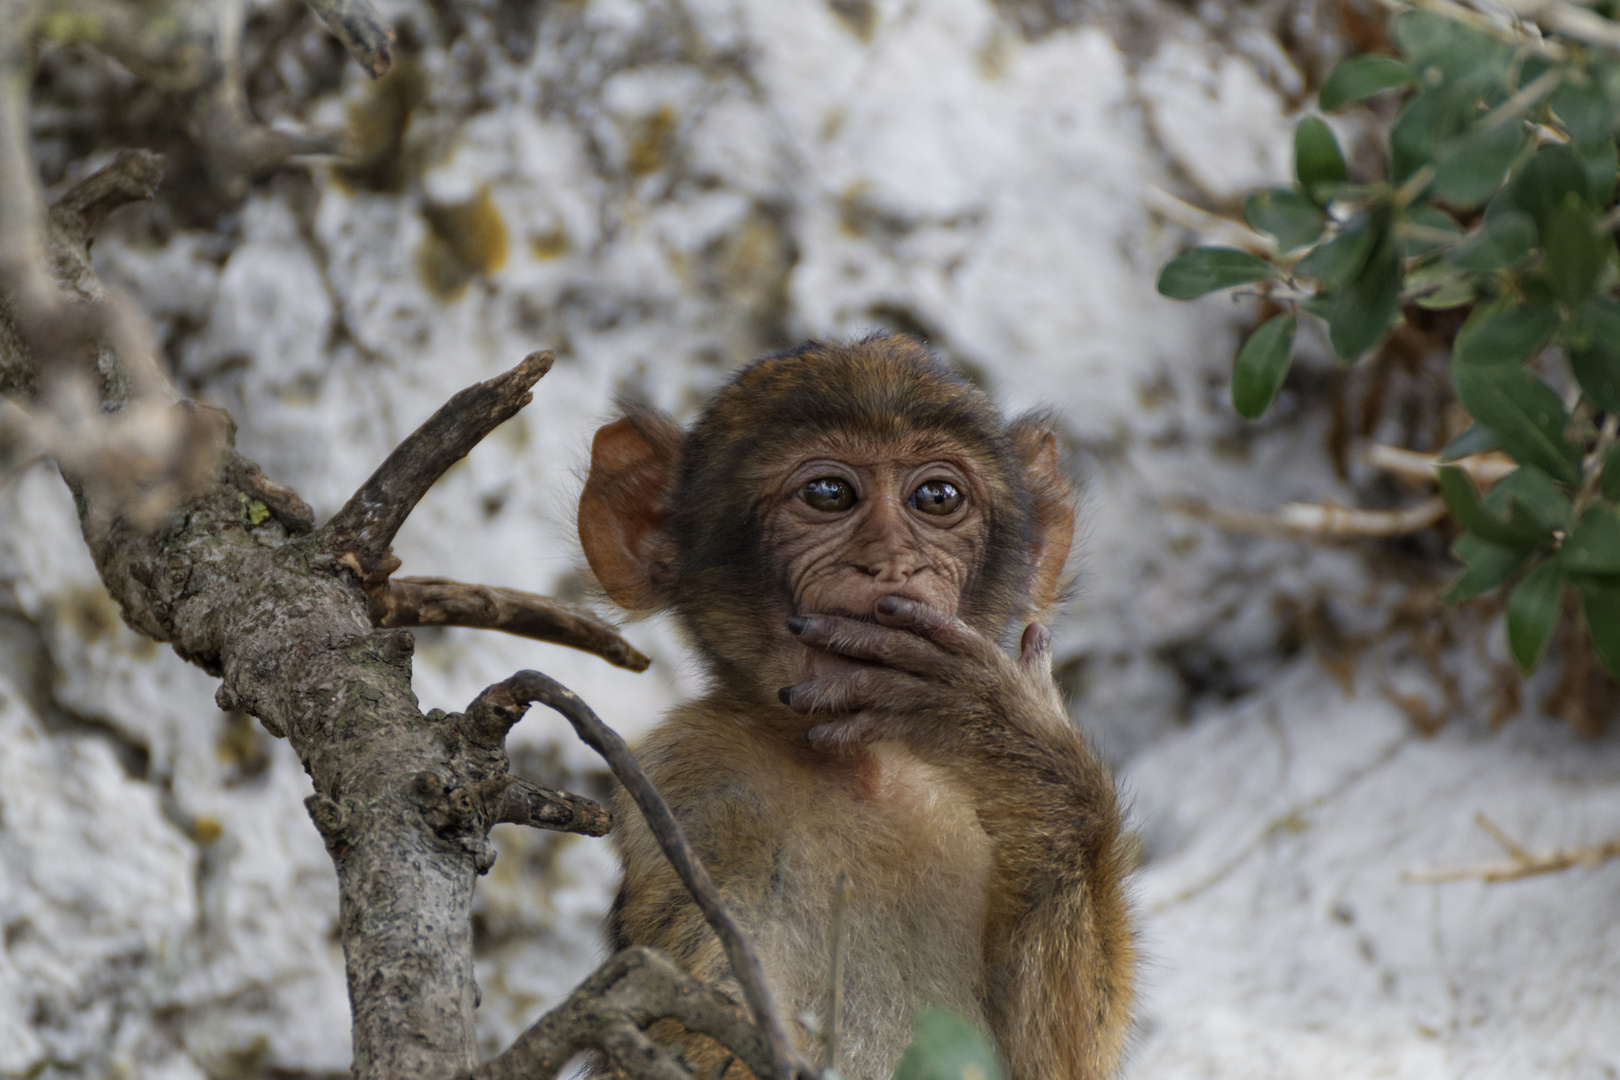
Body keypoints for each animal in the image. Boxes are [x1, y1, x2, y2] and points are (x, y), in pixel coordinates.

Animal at [583, 338, 1140, 1080]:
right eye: (828, 494)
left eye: (936, 497)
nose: (892, 562)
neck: (859, 768)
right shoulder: (695, 789)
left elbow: (1056, 1065)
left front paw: (1012, 743)